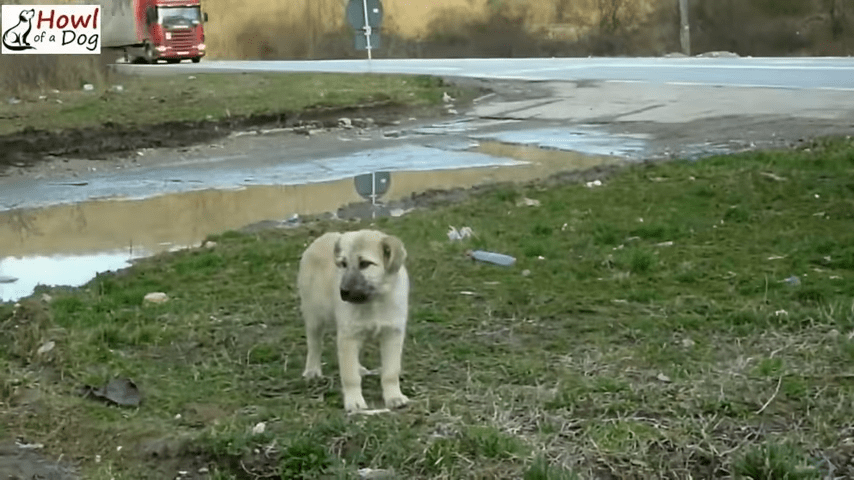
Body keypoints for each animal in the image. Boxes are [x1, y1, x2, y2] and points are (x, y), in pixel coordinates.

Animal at [298, 230, 412, 412]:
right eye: (343, 264)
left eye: (365, 264)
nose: (343, 292)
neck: (374, 302)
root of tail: (324, 236)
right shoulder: (348, 336)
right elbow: (349, 375)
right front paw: (354, 401)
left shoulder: (392, 335)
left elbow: (390, 372)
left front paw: (394, 397)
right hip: (314, 316)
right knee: (315, 345)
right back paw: (312, 370)